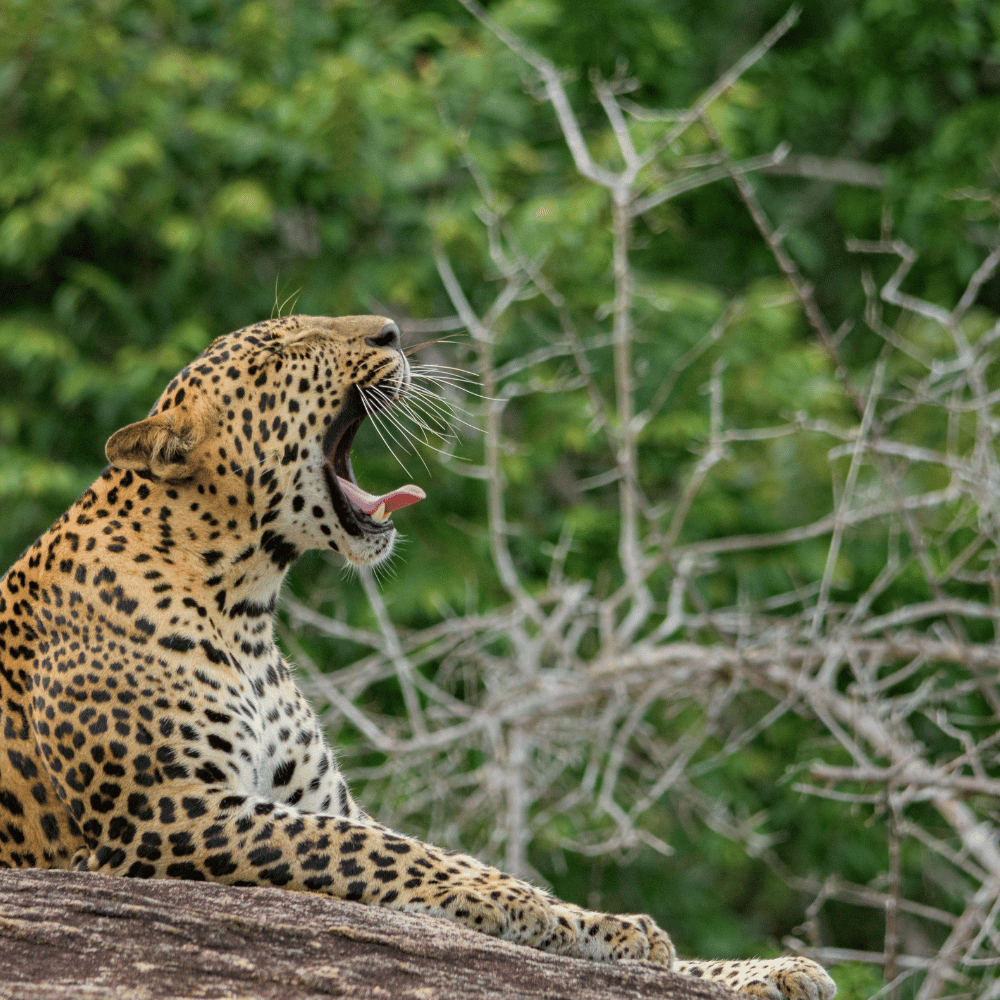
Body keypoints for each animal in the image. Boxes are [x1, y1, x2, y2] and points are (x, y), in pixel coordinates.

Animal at [0, 314, 835, 1000]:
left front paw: (667, 944)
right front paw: (523, 908)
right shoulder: (165, 811)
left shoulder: (312, 798)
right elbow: (386, 850)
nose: (392, 331)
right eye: (283, 351)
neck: (245, 608)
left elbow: (416, 844)